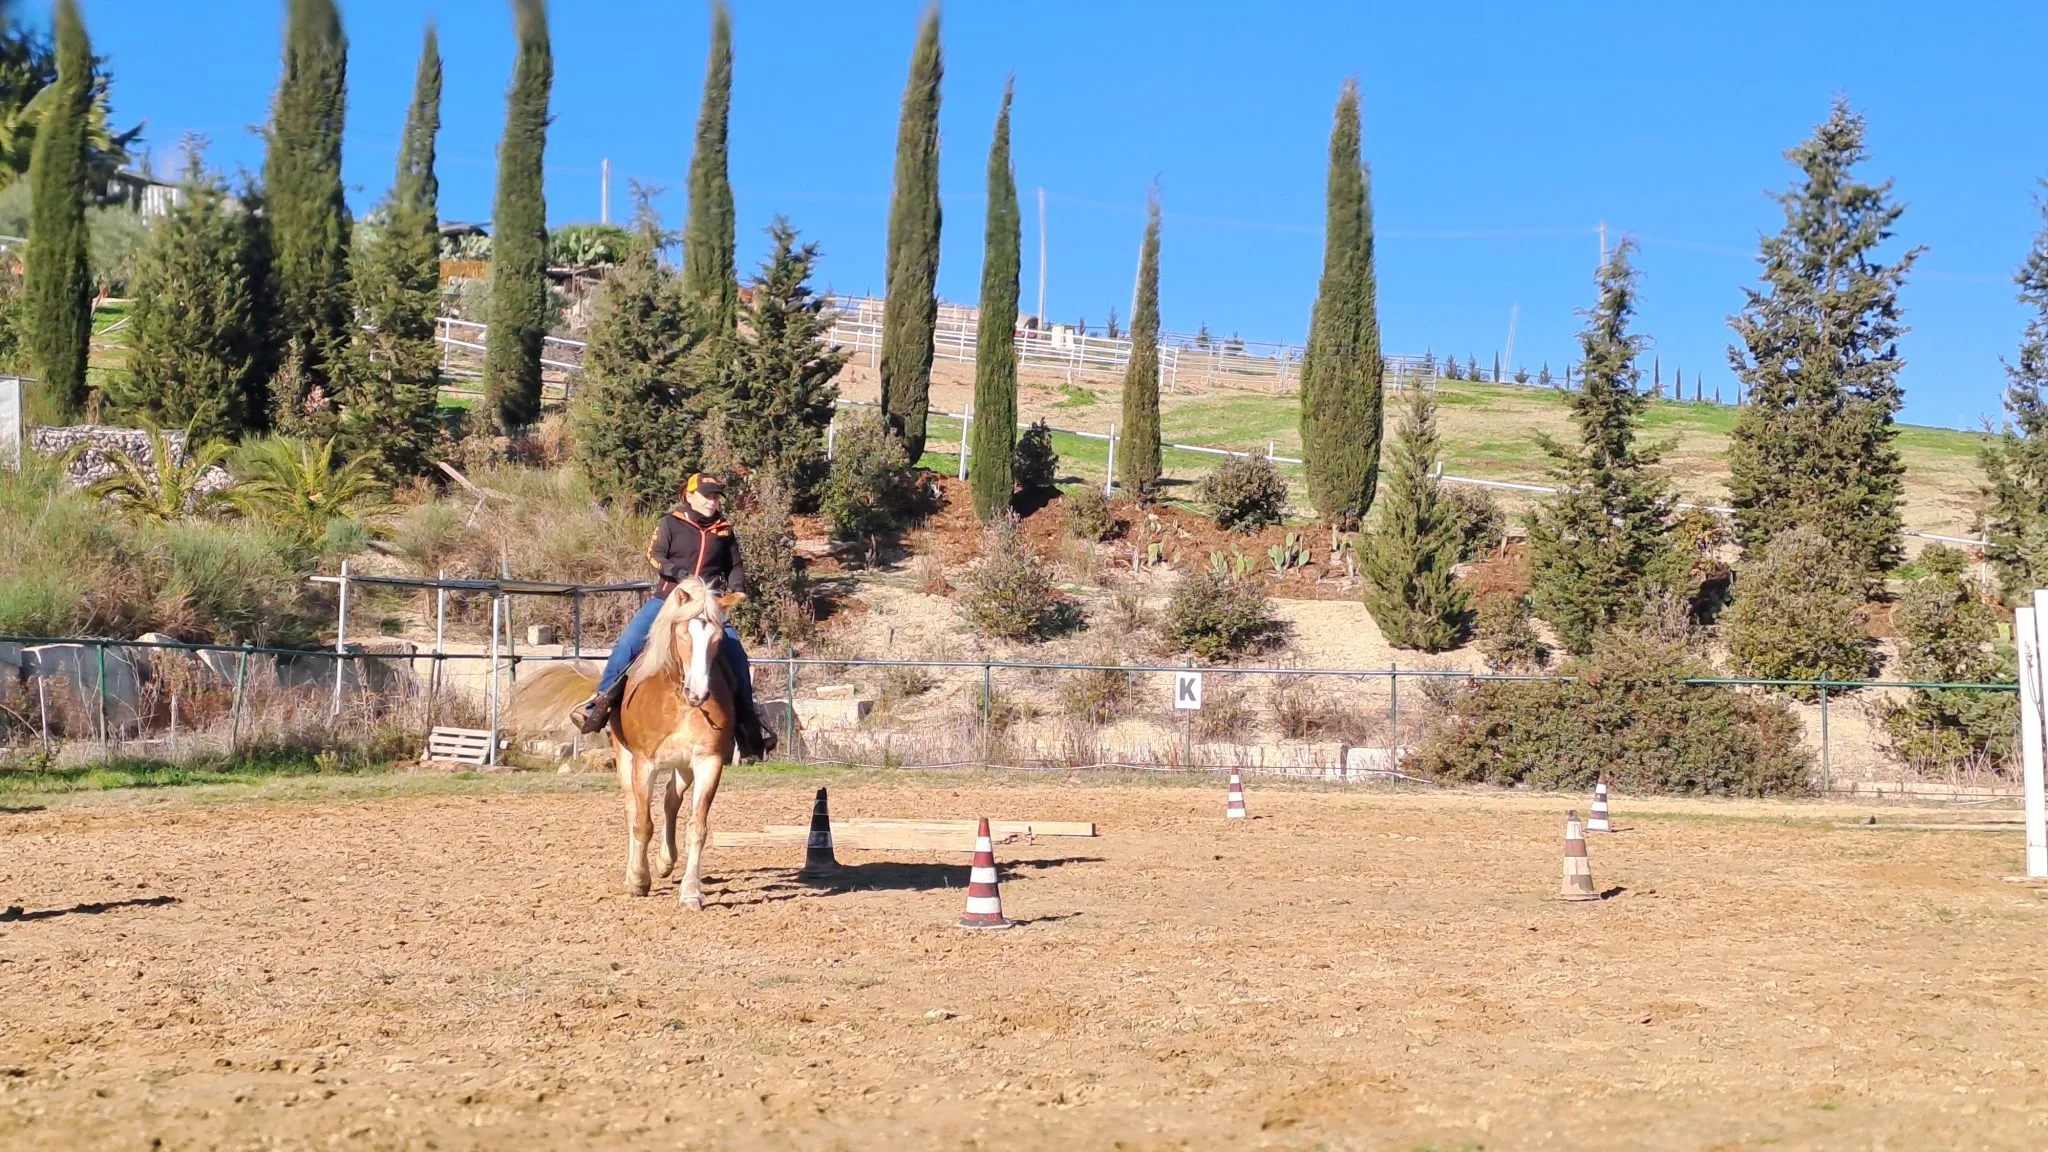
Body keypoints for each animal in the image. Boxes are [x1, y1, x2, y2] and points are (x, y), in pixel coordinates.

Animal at [509, 578, 744, 908]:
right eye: (683, 632)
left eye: (717, 637)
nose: (698, 692)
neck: (677, 701)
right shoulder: (644, 764)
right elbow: (642, 823)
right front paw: (638, 881)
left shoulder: (707, 762)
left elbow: (697, 828)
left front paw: (690, 893)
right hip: (626, 760)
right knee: (633, 808)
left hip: (684, 766)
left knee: (671, 799)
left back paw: (665, 861)